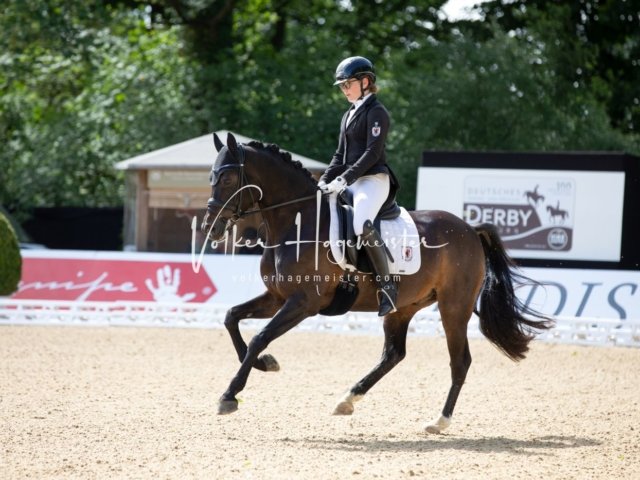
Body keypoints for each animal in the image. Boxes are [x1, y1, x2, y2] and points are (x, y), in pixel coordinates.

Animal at [201, 132, 553, 433]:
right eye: (211, 177)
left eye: (228, 178)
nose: (211, 228)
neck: (297, 222)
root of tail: (469, 228)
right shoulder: (276, 296)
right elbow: (232, 318)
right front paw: (265, 364)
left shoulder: (303, 302)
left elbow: (260, 336)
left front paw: (229, 395)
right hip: (403, 307)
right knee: (394, 354)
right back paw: (347, 400)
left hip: (454, 307)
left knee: (460, 361)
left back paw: (439, 421)